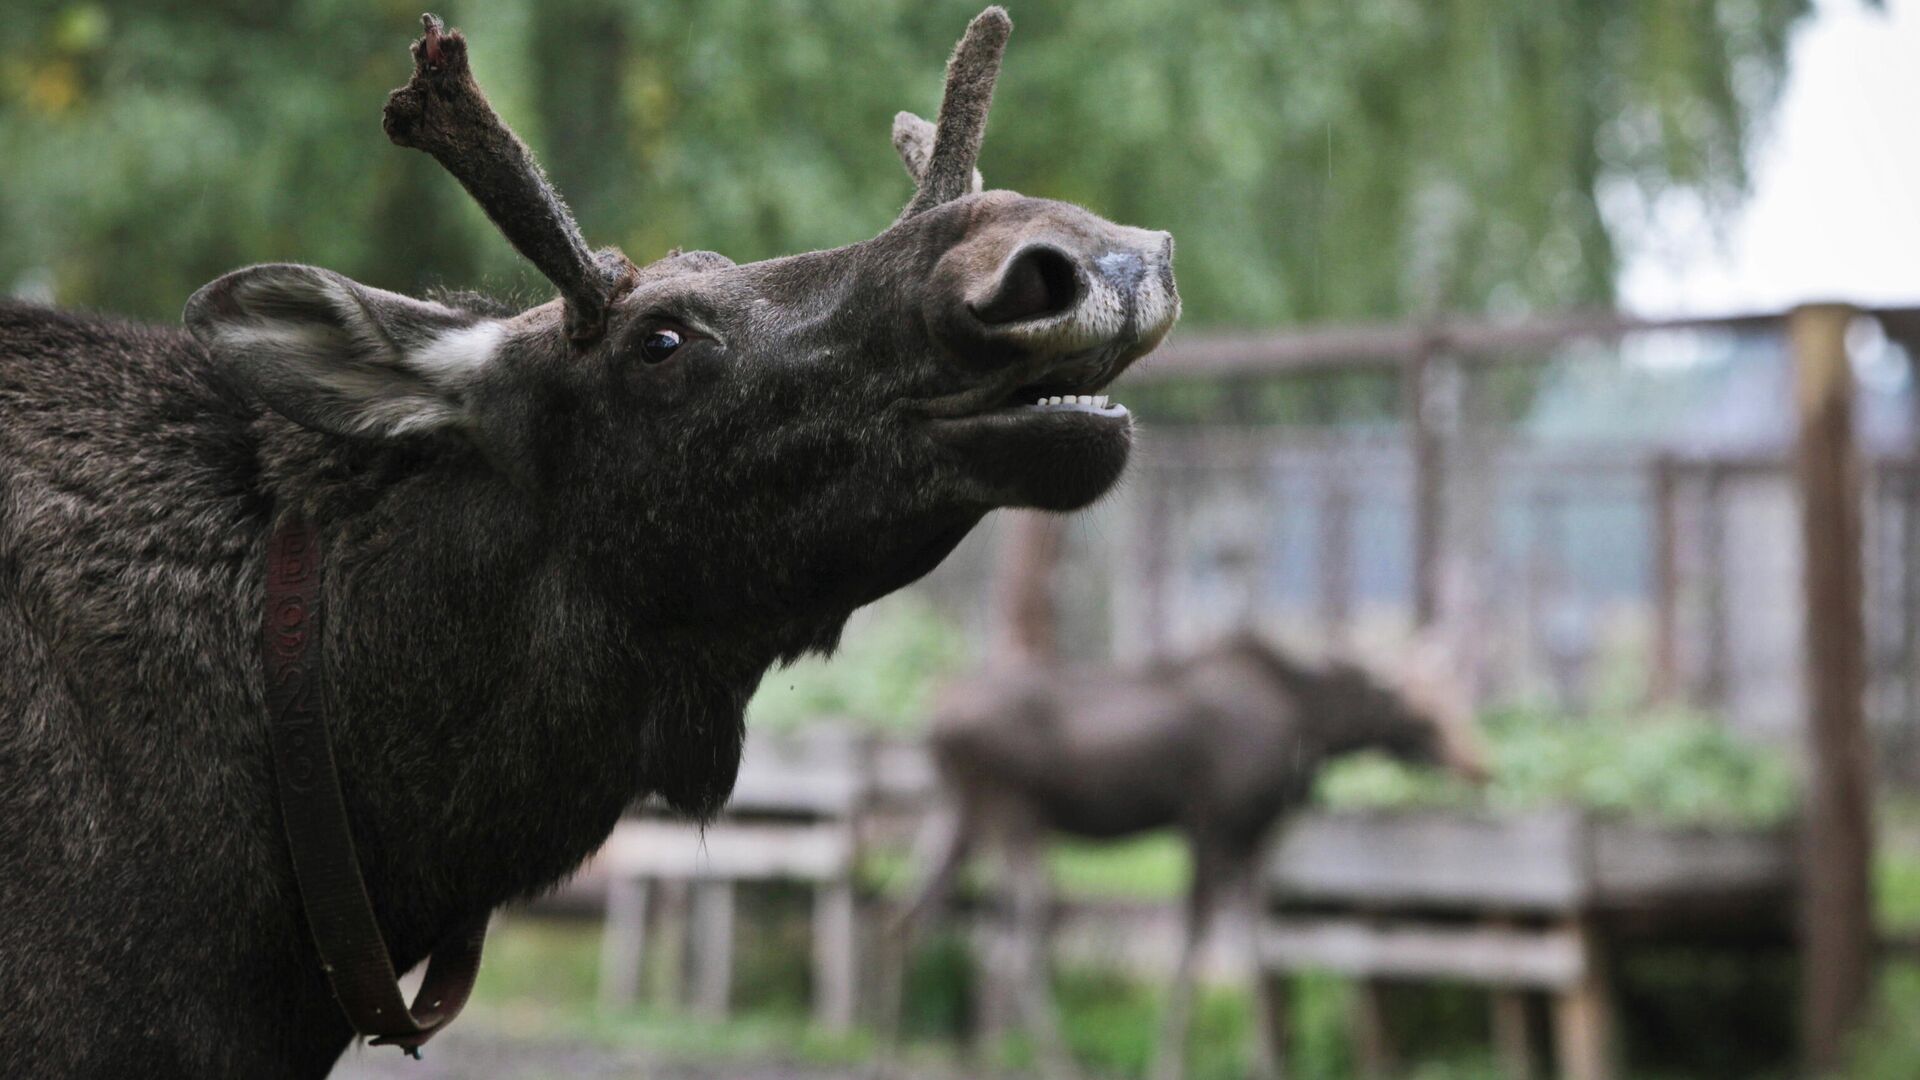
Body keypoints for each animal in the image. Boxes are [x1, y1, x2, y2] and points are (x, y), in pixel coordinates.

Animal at [894, 630, 1482, 1076]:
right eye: (1422, 709)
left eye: (1459, 695)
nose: (1477, 764)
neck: (1311, 726)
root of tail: (930, 723)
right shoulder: (1212, 826)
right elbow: (1198, 947)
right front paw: (1172, 1062)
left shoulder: (1253, 837)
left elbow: (1257, 951)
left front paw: (1267, 1059)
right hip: (1013, 814)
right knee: (1012, 942)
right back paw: (1059, 1061)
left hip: (957, 813)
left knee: (913, 916)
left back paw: (897, 1041)